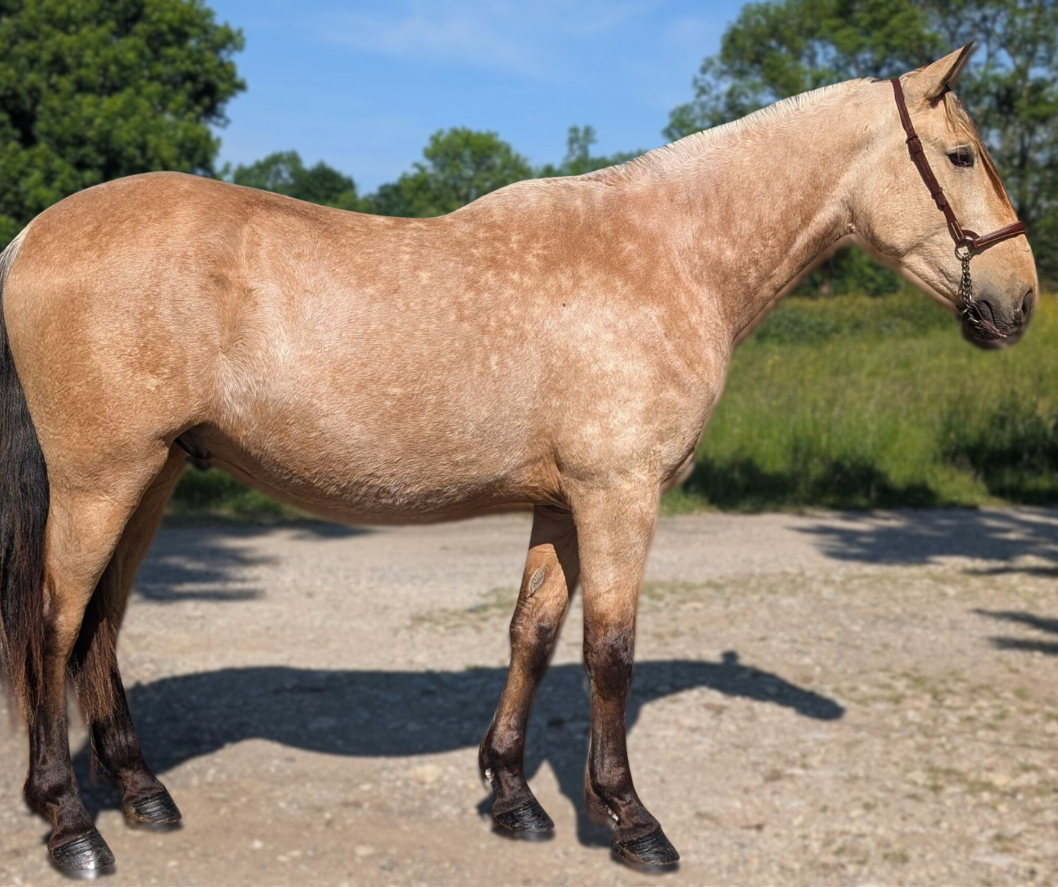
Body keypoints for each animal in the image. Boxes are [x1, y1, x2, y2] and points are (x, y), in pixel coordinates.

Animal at [0, 45, 1037, 873]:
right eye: (960, 156)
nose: (1020, 299)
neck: (669, 253)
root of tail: (32, 236)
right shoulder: (620, 495)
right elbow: (609, 652)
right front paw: (630, 820)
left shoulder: (562, 503)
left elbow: (532, 634)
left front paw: (513, 797)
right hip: (101, 479)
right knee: (55, 624)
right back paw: (71, 824)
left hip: (155, 474)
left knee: (101, 625)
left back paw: (143, 793)